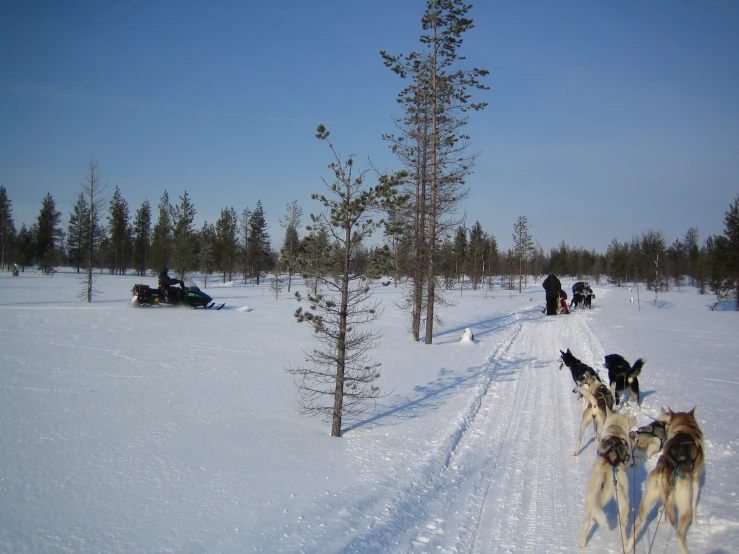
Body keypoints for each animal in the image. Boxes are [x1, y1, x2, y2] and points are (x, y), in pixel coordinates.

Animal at [580, 404, 636, 544]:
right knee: (622, 525)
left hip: (590, 495)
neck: (615, 432)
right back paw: (626, 542)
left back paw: (582, 543)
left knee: (587, 520)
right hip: (623, 499)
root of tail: (609, 462)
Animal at [628, 406, 708, 552]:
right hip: (683, 505)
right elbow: (694, 504)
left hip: (649, 498)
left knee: (638, 522)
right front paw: (695, 522)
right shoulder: (695, 480)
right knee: (679, 533)